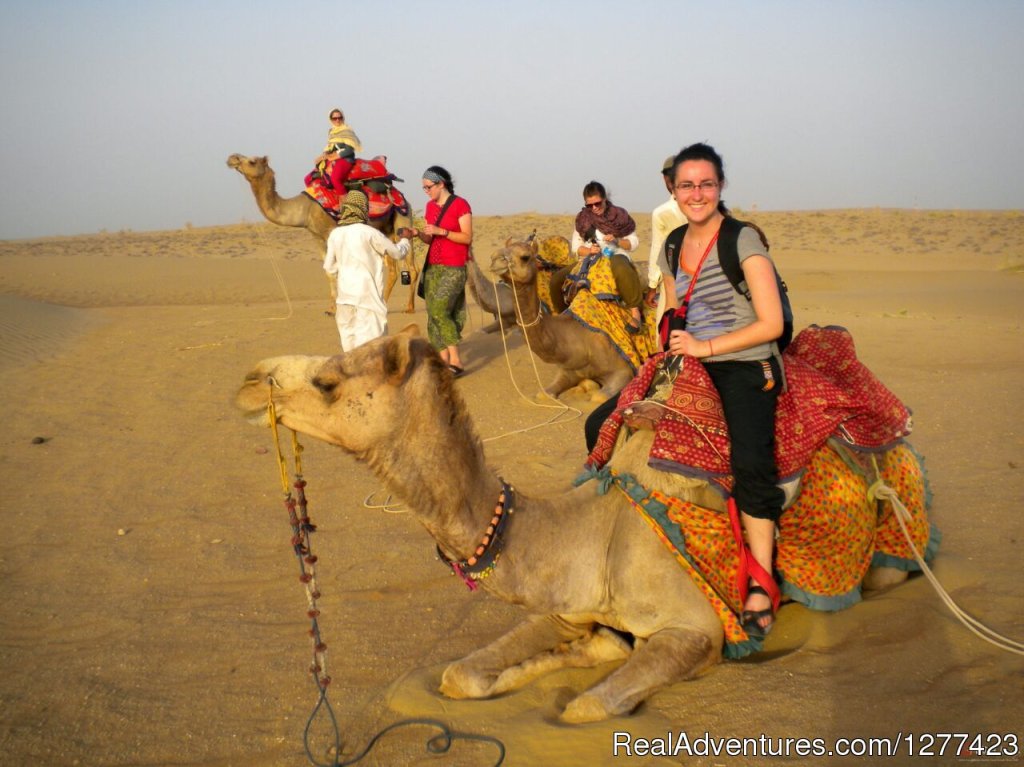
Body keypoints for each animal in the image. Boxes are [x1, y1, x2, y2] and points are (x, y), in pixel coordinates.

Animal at [226, 153, 417, 313]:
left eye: (252, 161)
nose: (232, 158)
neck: (305, 208)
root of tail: (402, 196)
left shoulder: (330, 231)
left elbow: (337, 270)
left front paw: (337, 308)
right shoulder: (316, 236)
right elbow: (328, 272)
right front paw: (331, 308)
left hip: (402, 217)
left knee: (411, 267)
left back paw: (408, 308)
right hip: (385, 229)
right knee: (392, 269)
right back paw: (383, 303)